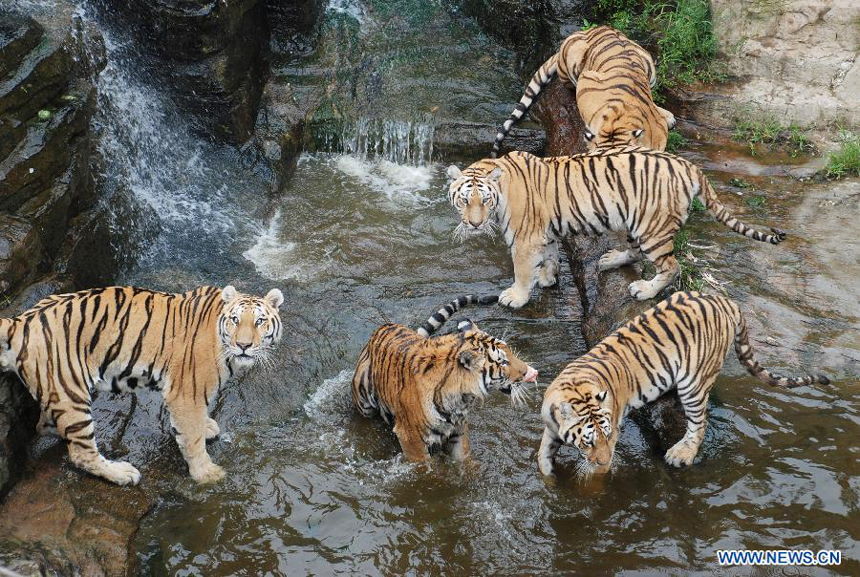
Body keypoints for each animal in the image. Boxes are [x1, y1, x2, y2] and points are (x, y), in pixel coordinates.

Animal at [0, 286, 286, 484]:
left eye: (259, 321)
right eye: (235, 320)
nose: (244, 345)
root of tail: (19, 321)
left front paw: (206, 427)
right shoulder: (186, 393)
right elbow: (192, 439)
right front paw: (206, 474)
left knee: (45, 425)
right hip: (70, 391)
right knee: (81, 452)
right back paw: (122, 473)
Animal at [352, 294, 536, 462]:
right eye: (502, 362)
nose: (529, 372)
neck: (461, 398)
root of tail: (384, 326)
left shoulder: (459, 429)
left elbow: (464, 459)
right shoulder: (410, 438)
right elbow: (424, 469)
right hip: (364, 401)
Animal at [444, 147, 788, 310]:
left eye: (485, 201)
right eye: (464, 200)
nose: (474, 223)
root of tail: (689, 165)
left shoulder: (524, 239)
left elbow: (522, 270)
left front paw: (516, 296)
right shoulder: (546, 231)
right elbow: (551, 255)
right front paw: (548, 278)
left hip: (653, 228)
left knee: (671, 266)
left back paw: (644, 289)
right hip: (636, 223)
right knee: (634, 254)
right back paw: (611, 259)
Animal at [536, 290, 828, 474]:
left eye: (608, 436)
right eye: (588, 442)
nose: (606, 460)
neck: (575, 389)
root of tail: (724, 300)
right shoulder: (551, 426)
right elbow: (542, 455)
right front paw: (550, 478)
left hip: (694, 383)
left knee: (700, 423)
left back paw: (681, 454)